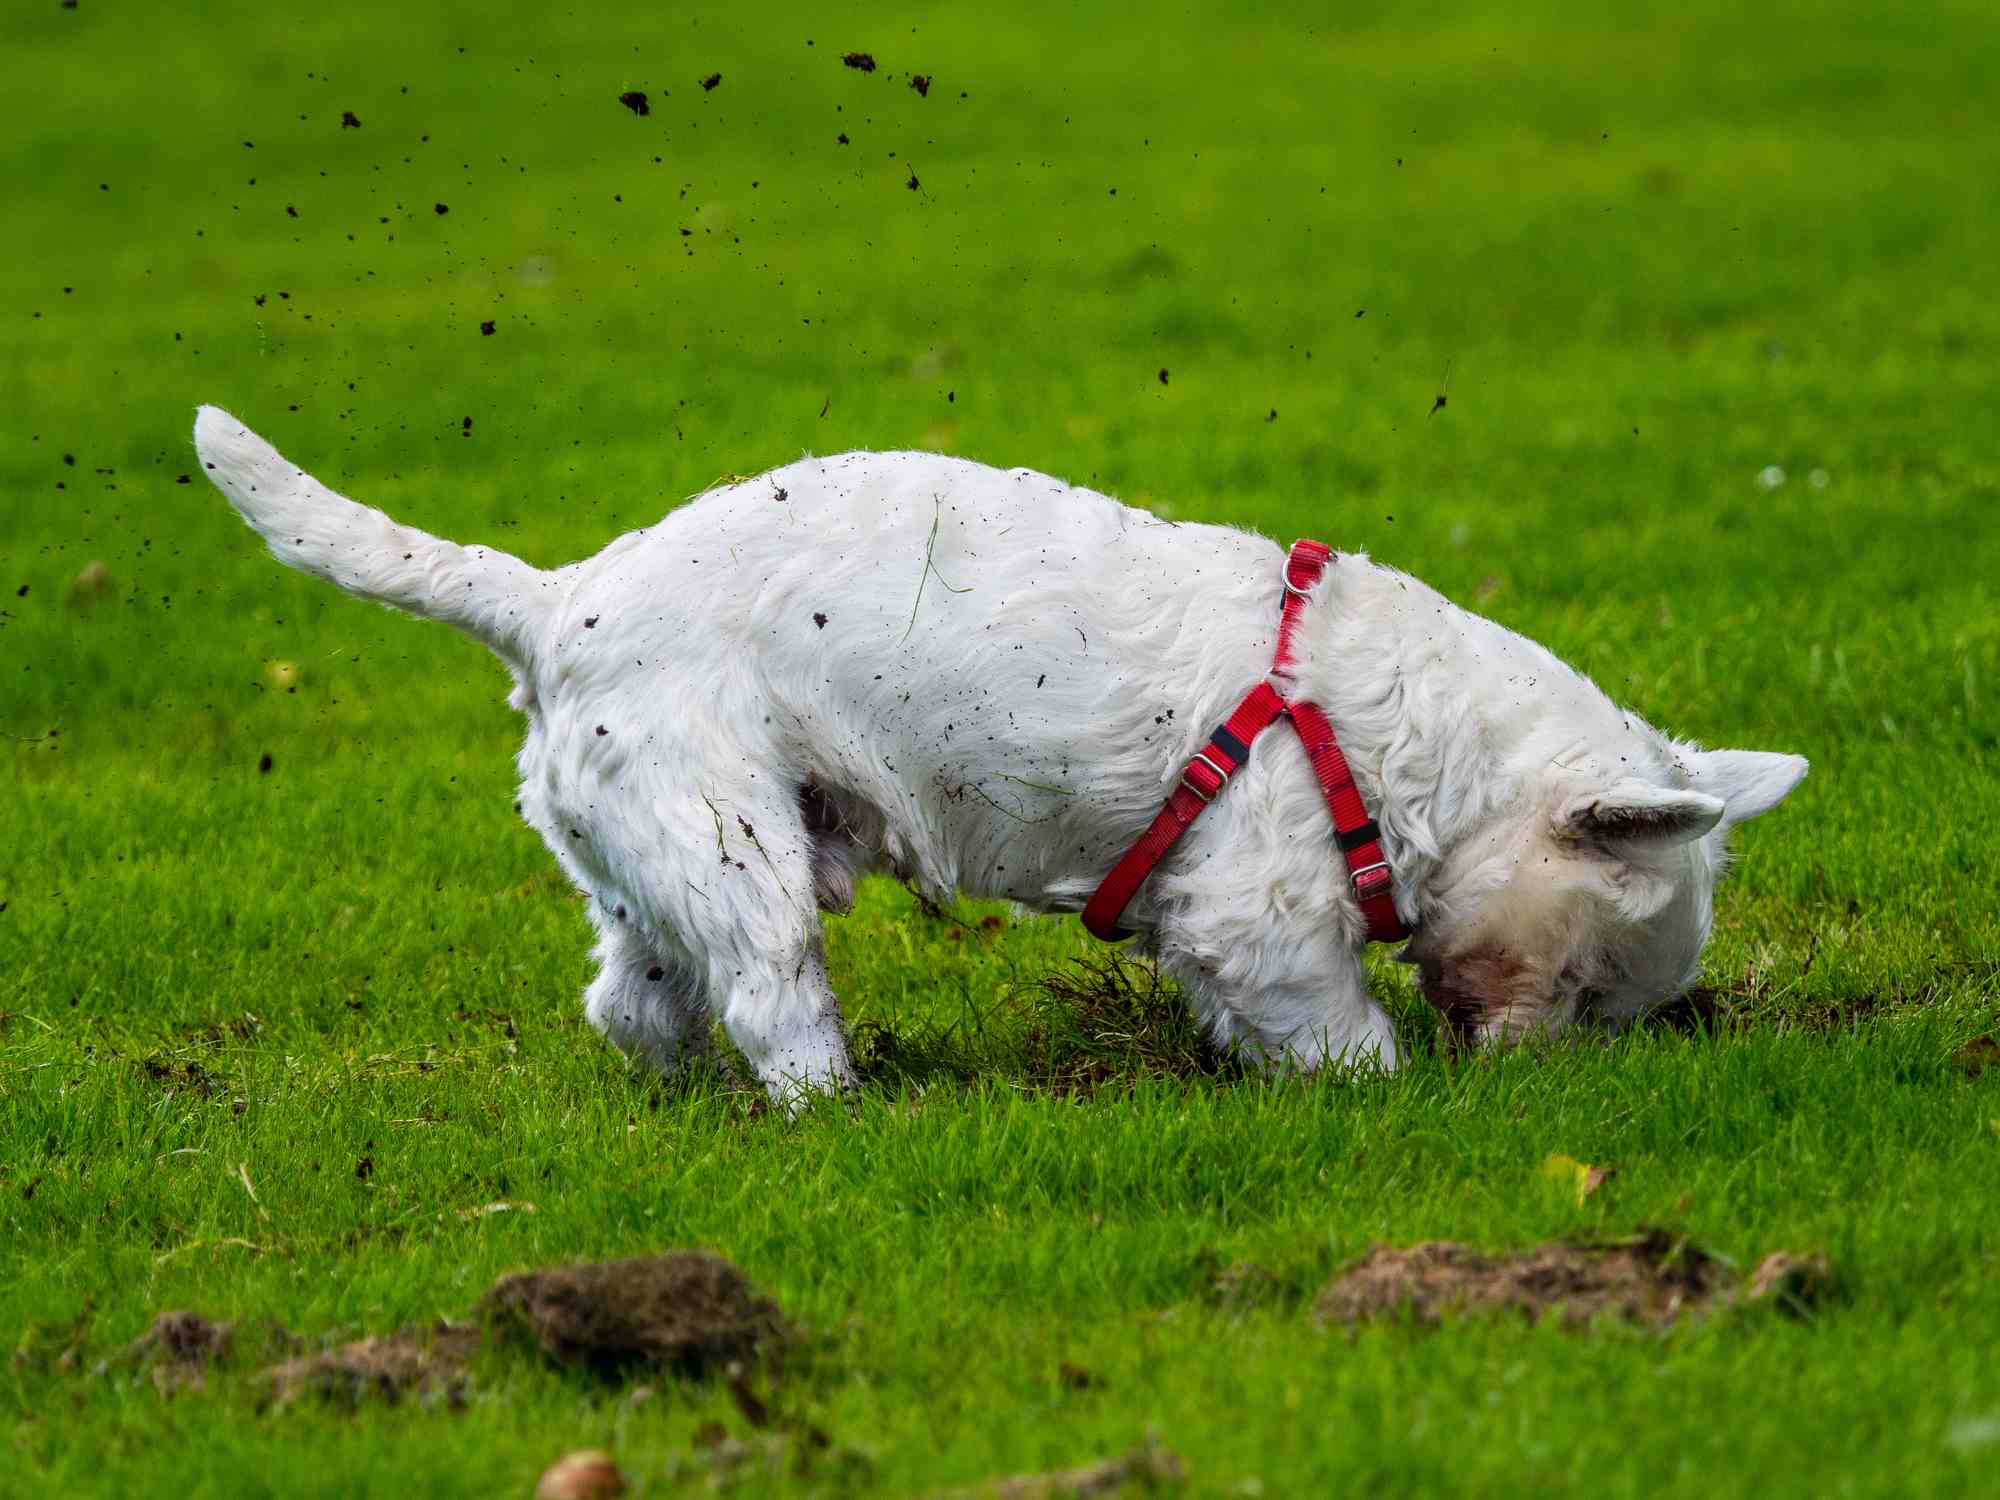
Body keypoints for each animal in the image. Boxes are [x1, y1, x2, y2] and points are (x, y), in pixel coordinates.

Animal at [195, 406, 1808, 1096]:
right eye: (1592, 987)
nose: (1544, 1078)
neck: (1384, 737)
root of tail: (553, 601)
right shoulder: (1259, 904)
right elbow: (1338, 1030)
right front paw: (1381, 1090)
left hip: (660, 849)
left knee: (636, 999)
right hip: (732, 838)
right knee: (770, 996)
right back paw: (836, 1108)